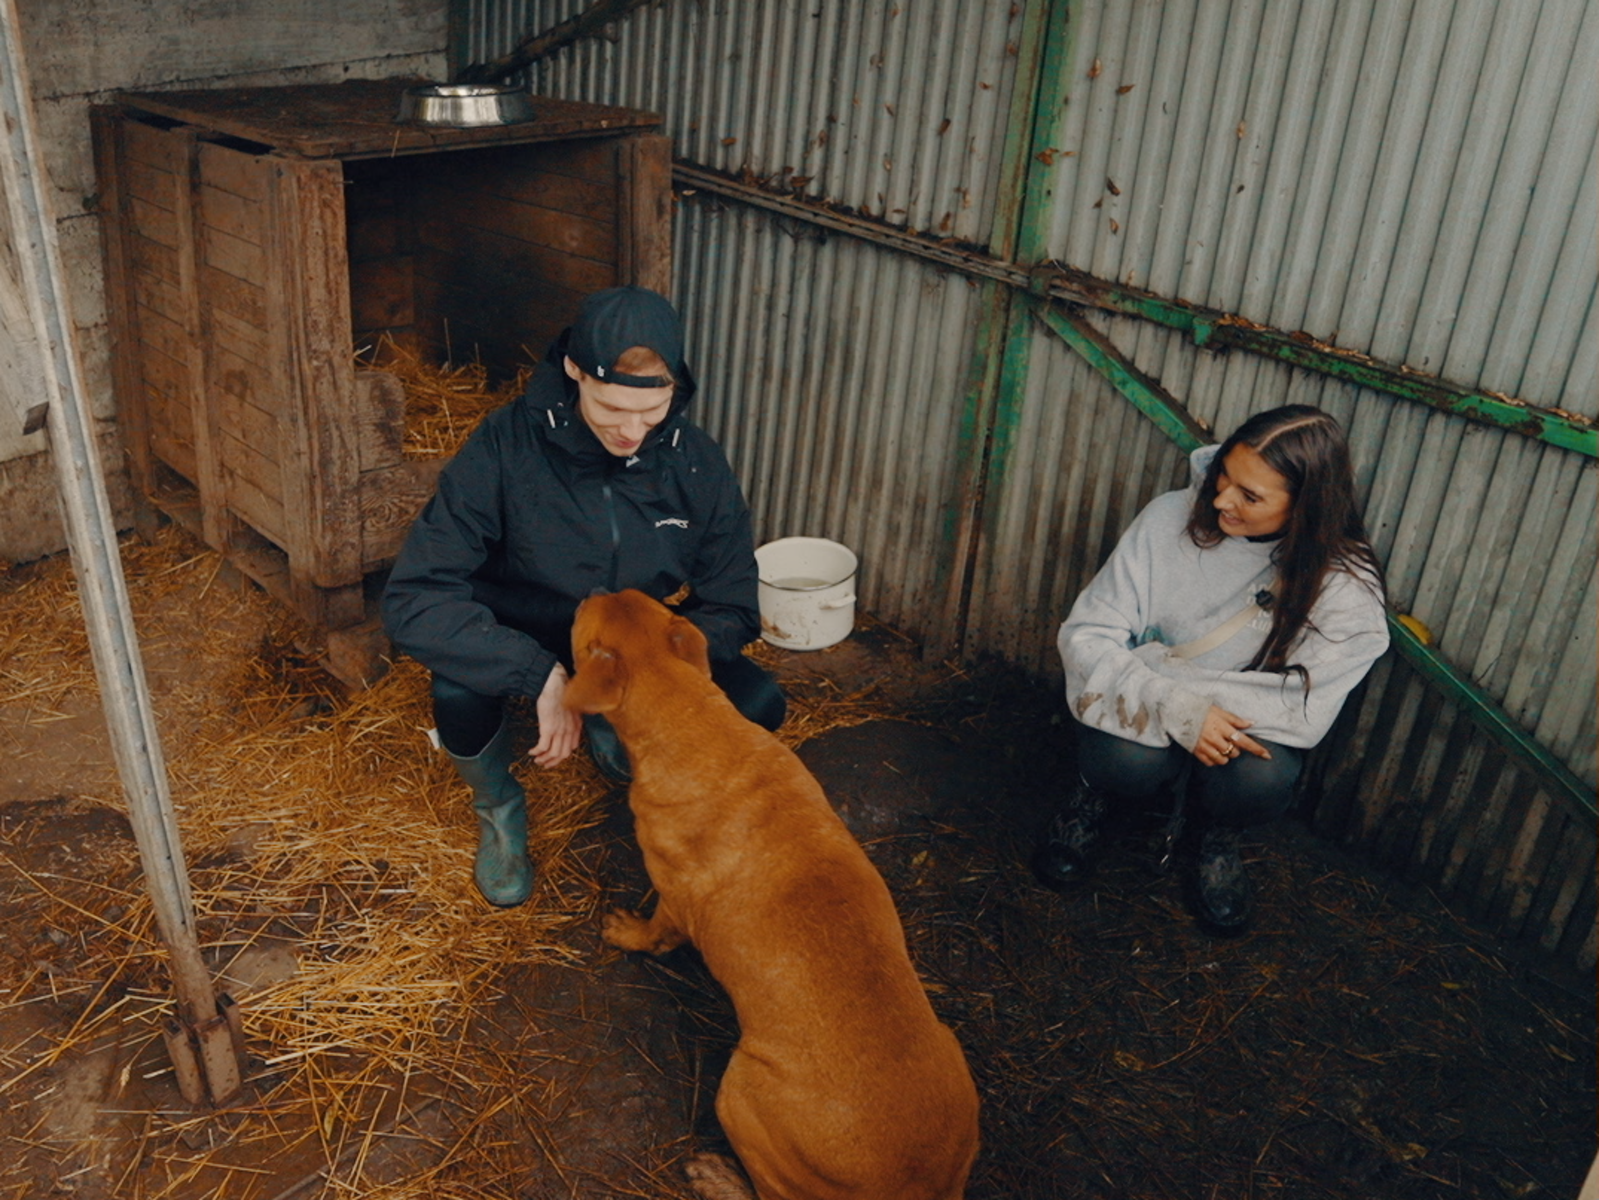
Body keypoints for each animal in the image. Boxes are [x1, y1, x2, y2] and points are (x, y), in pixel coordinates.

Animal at [569, 595, 978, 1200]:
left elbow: (655, 935)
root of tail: (915, 1187)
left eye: (580, 621)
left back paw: (715, 1174)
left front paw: (625, 933)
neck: (692, 721)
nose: (590, 586)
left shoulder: (672, 895)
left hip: (736, 1092)